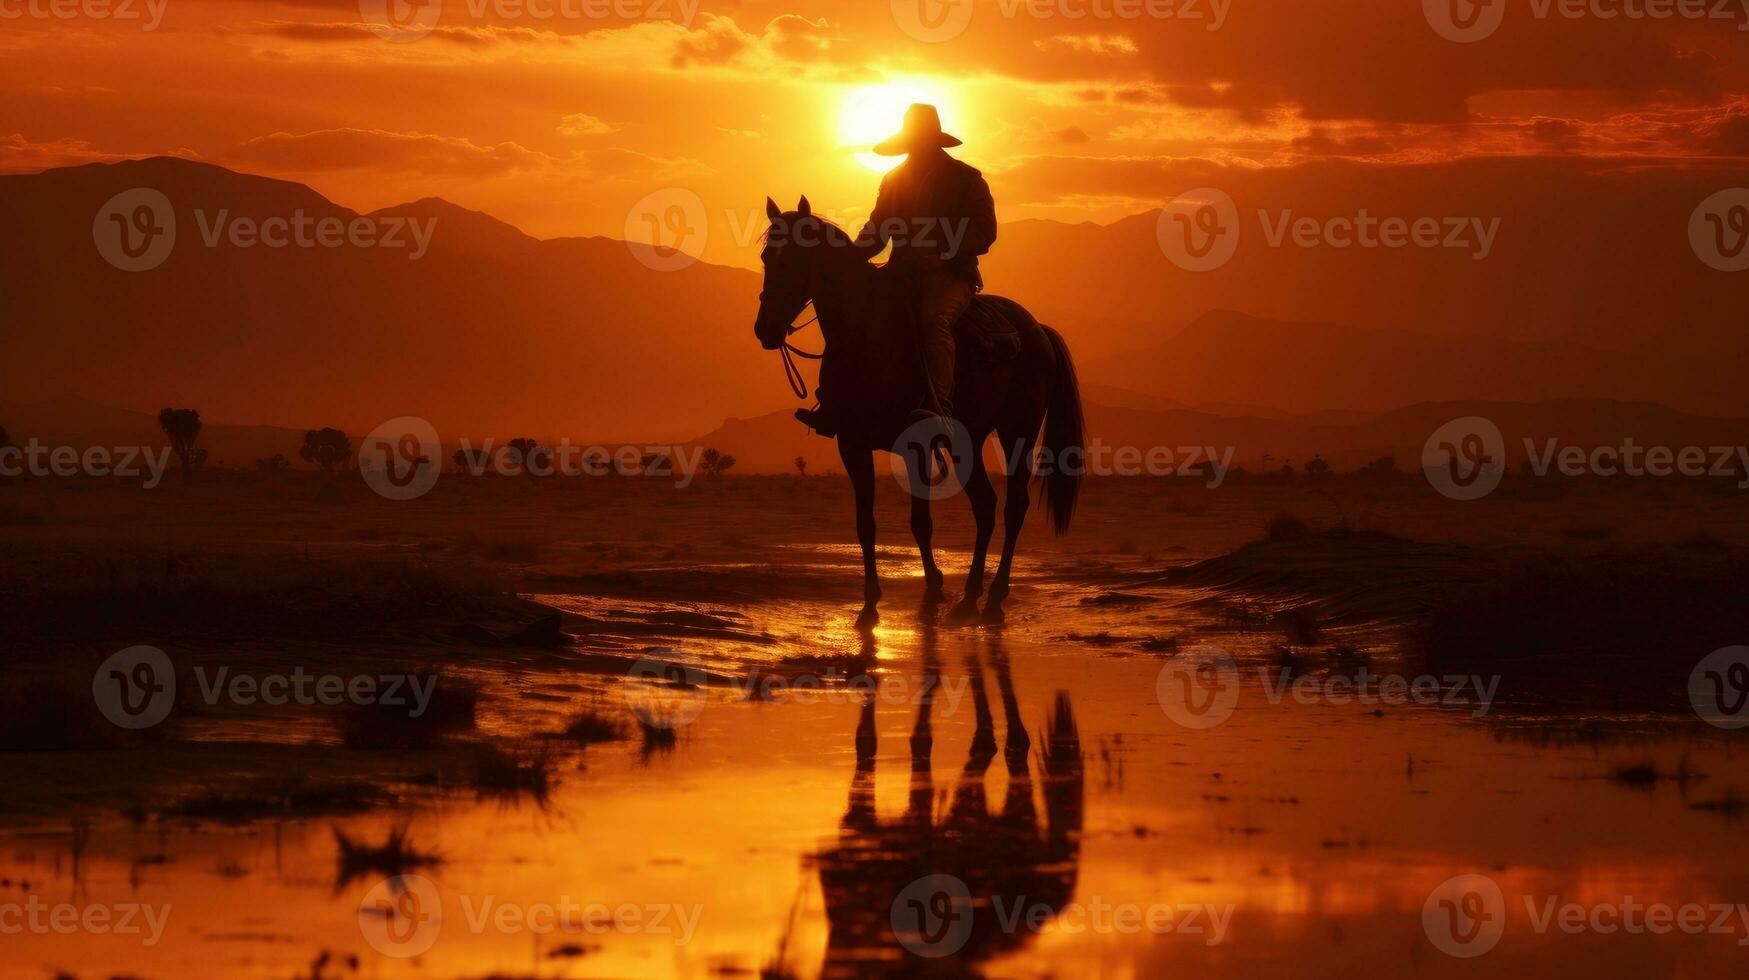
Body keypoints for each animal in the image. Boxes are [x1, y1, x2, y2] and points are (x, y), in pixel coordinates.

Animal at [752, 196, 1077, 626]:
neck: (867, 336)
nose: (766, 330)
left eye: (793, 258)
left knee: (1014, 505)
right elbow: (866, 523)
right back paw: (969, 597)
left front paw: (932, 588)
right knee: (985, 505)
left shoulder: (914, 445)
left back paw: (993, 599)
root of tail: (1036, 329)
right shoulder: (852, 444)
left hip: (1016, 431)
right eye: (766, 258)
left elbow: (920, 521)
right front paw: (872, 602)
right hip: (969, 439)